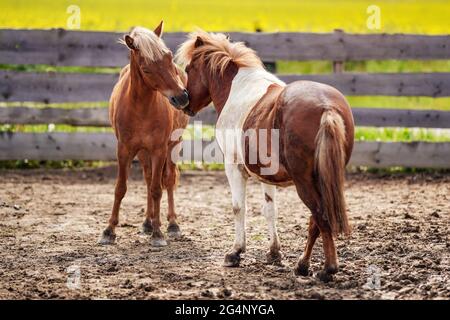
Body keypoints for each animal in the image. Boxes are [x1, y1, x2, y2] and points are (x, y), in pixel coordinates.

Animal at [98, 21, 190, 248]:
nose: (182, 97)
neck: (141, 108)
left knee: (167, 179)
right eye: (146, 68)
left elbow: (158, 189)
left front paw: (158, 233)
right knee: (149, 179)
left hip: (173, 144)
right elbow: (121, 188)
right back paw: (147, 222)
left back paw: (171, 224)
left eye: (168, 57)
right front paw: (109, 230)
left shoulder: (159, 150)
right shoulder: (124, 150)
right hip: (142, 152)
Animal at [176, 30, 356, 280]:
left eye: (189, 69)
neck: (237, 89)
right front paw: (274, 253)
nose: (184, 102)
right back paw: (303, 265)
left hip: (305, 182)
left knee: (320, 216)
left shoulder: (233, 167)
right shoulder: (266, 174)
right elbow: (270, 210)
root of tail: (326, 107)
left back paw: (327, 268)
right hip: (323, 179)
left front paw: (235, 252)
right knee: (316, 220)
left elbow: (238, 208)